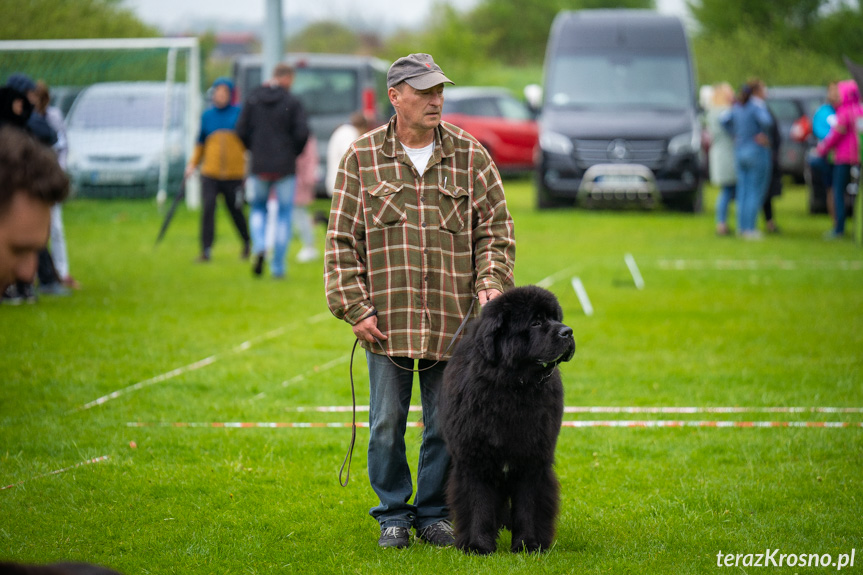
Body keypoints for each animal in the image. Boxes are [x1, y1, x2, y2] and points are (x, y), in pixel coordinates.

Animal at [442, 286, 576, 556]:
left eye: (555, 318)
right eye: (536, 322)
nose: (568, 331)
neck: (513, 387)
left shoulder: (532, 458)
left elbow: (528, 505)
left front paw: (528, 545)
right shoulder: (474, 457)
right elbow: (478, 502)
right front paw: (478, 545)